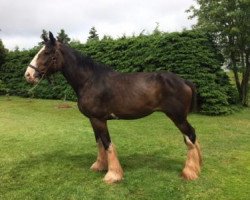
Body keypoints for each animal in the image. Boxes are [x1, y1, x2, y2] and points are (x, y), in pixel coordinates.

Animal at [24, 32, 201, 184]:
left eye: (47, 52)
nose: (28, 75)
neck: (89, 80)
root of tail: (184, 81)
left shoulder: (99, 119)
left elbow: (107, 144)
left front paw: (113, 175)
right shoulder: (93, 120)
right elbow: (99, 143)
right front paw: (99, 166)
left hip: (178, 117)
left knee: (190, 136)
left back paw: (190, 172)